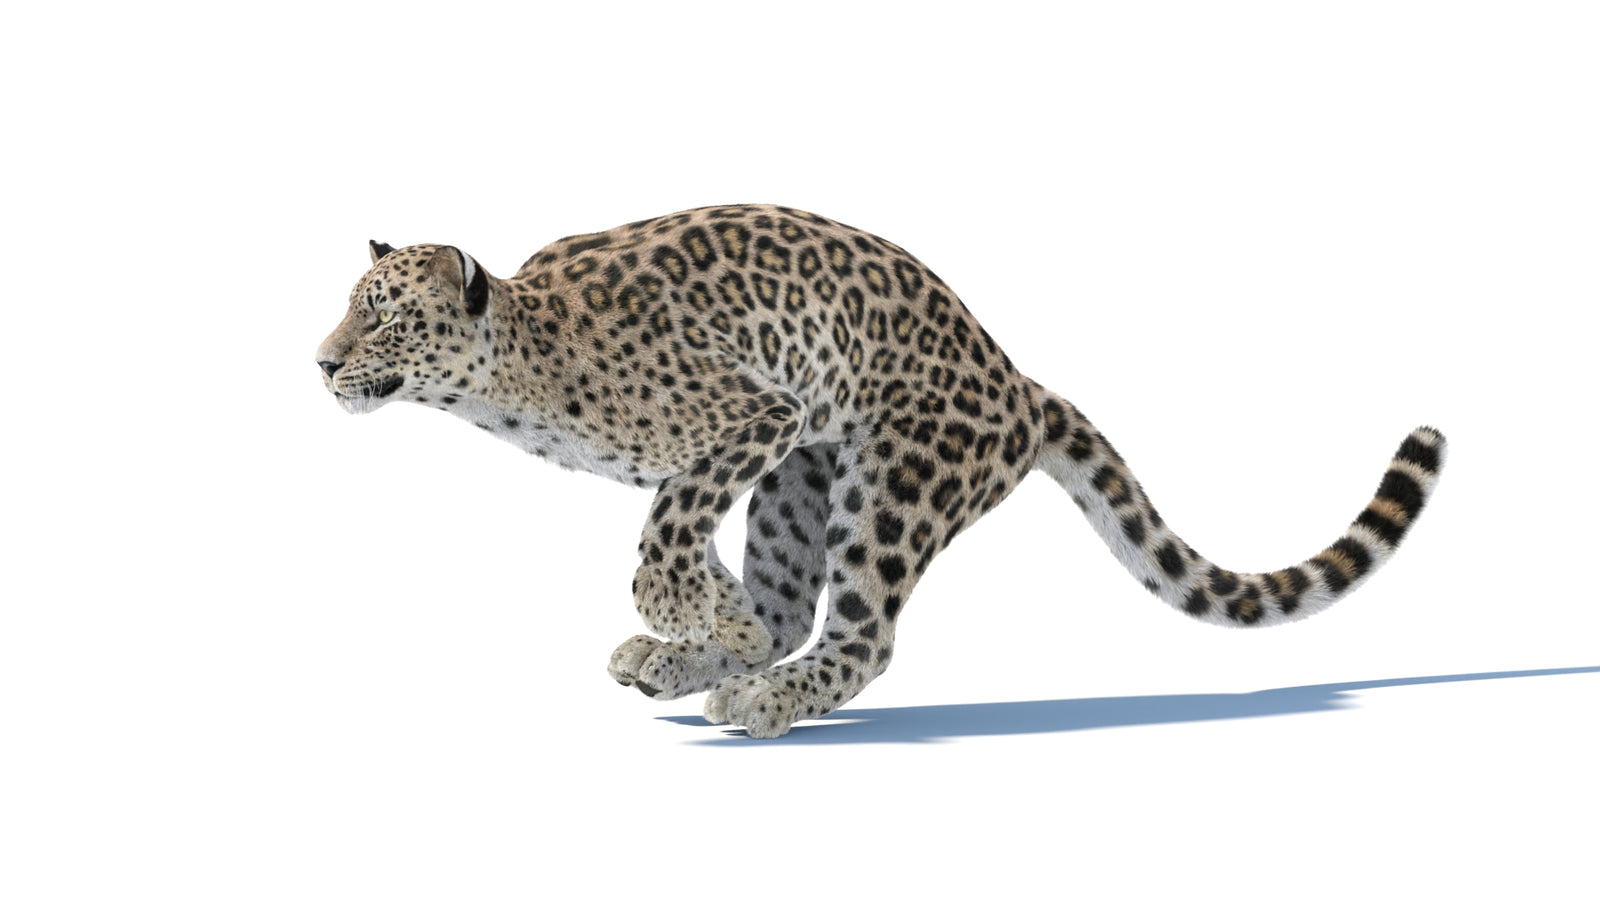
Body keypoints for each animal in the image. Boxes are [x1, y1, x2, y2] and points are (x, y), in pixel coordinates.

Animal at [316, 204, 1446, 738]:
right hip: (800, 484)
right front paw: (713, 624)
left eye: (383, 315)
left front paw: (693, 613)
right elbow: (697, 545)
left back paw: (758, 698)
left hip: (891, 484)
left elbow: (669, 516)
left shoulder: (754, 413)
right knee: (791, 608)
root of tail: (1018, 382)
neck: (517, 376)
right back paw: (691, 663)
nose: (320, 361)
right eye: (350, 308)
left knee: (863, 636)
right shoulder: (771, 438)